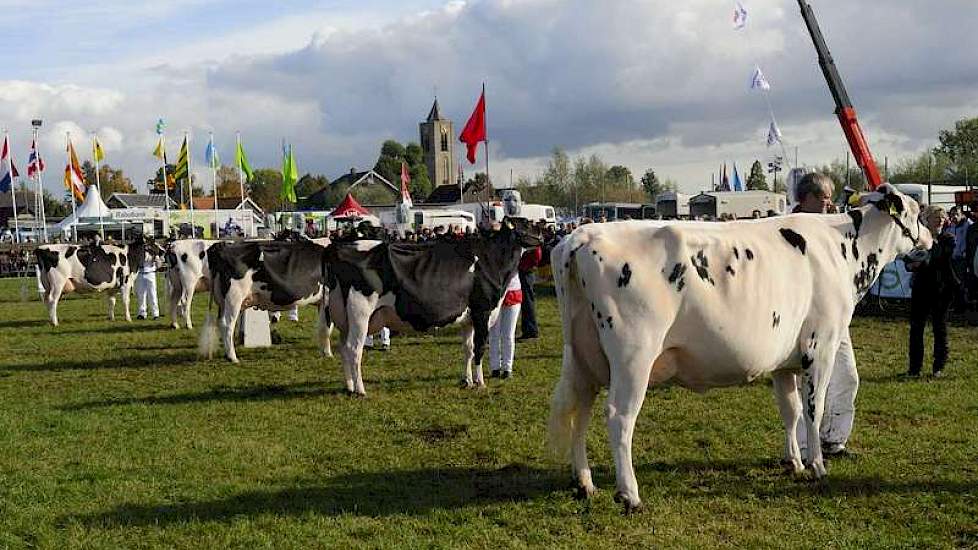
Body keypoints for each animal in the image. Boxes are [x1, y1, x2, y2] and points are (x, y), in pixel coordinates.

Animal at [34, 238, 162, 328]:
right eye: (153, 245)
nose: (164, 250)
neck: (130, 255)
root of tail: (42, 248)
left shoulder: (112, 287)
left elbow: (111, 302)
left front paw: (111, 318)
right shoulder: (126, 281)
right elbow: (126, 301)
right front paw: (128, 318)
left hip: (47, 285)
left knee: (46, 299)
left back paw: (51, 320)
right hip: (58, 283)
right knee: (52, 300)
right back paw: (55, 322)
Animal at [548, 185, 932, 512]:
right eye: (916, 211)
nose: (930, 237)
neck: (843, 249)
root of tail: (583, 234)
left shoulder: (784, 362)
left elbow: (790, 410)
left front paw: (793, 462)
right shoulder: (820, 346)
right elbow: (814, 410)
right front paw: (817, 466)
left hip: (583, 356)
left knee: (580, 408)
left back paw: (585, 482)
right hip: (633, 356)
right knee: (619, 417)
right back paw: (630, 494)